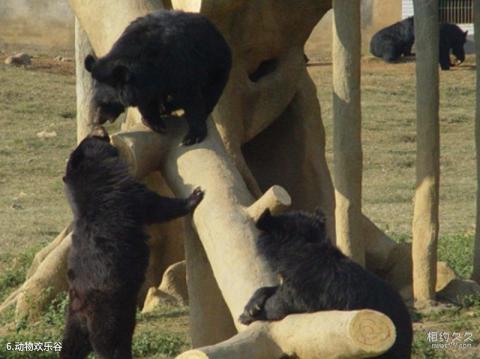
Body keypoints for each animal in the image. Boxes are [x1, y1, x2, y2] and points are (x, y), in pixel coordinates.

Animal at [59, 128, 203, 358]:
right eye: (89, 139)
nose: (101, 128)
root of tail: (82, 310)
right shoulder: (126, 197)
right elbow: (156, 206)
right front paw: (195, 195)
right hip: (109, 314)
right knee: (111, 345)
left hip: (76, 321)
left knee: (72, 346)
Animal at [85, 11, 232, 146]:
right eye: (93, 98)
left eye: (106, 102)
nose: (96, 120)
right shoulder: (144, 84)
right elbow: (146, 102)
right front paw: (156, 124)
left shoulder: (181, 67)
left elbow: (191, 98)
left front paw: (192, 137)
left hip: (218, 65)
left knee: (211, 92)